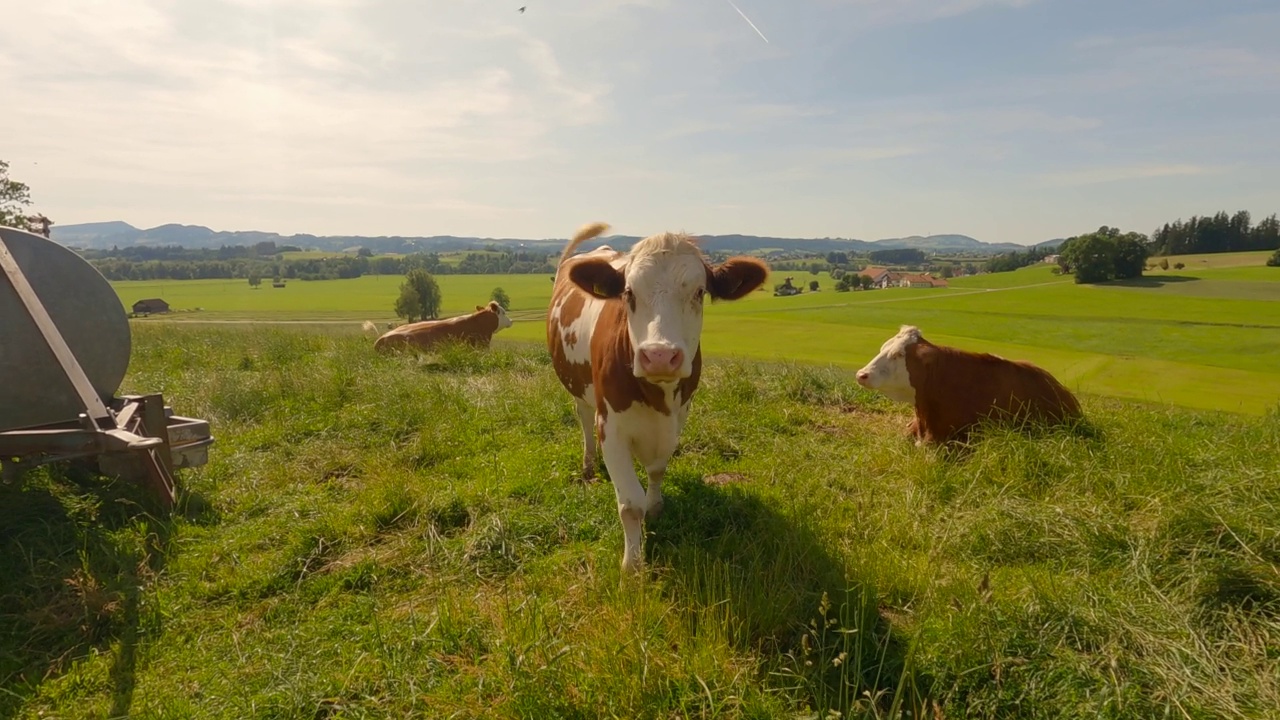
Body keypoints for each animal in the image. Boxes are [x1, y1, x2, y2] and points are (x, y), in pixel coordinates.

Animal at [545, 220, 762, 571]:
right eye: (628, 293)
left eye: (699, 292)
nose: (659, 356)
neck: (657, 395)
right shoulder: (611, 427)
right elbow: (630, 504)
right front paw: (632, 564)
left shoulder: (679, 415)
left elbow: (658, 469)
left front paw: (655, 506)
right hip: (578, 388)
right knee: (583, 418)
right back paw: (589, 465)